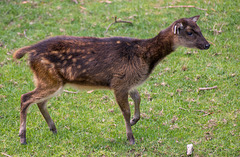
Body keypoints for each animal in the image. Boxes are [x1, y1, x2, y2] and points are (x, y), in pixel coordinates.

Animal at [13, 15, 210, 145]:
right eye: (190, 32)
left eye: (200, 30)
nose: (207, 44)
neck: (145, 57)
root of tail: (30, 50)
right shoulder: (119, 82)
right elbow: (126, 111)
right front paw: (131, 138)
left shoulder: (129, 82)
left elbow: (138, 97)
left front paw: (136, 120)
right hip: (49, 78)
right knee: (25, 97)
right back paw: (23, 137)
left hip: (50, 80)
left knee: (40, 102)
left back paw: (53, 129)